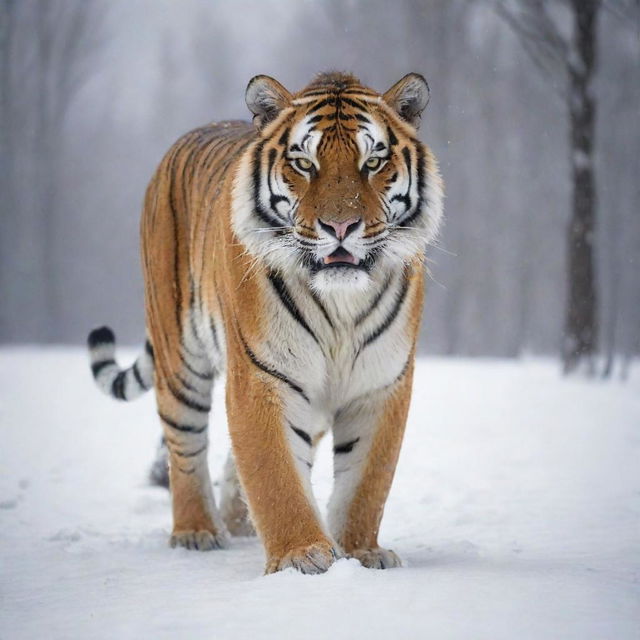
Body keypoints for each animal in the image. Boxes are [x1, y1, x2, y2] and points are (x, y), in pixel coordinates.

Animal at [87, 71, 442, 576]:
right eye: (304, 163)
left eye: (373, 161)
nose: (341, 227)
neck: (341, 304)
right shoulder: (260, 376)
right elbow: (274, 471)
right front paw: (301, 554)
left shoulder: (381, 383)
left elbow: (367, 482)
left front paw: (361, 552)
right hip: (179, 357)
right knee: (185, 448)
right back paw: (197, 531)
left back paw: (238, 525)